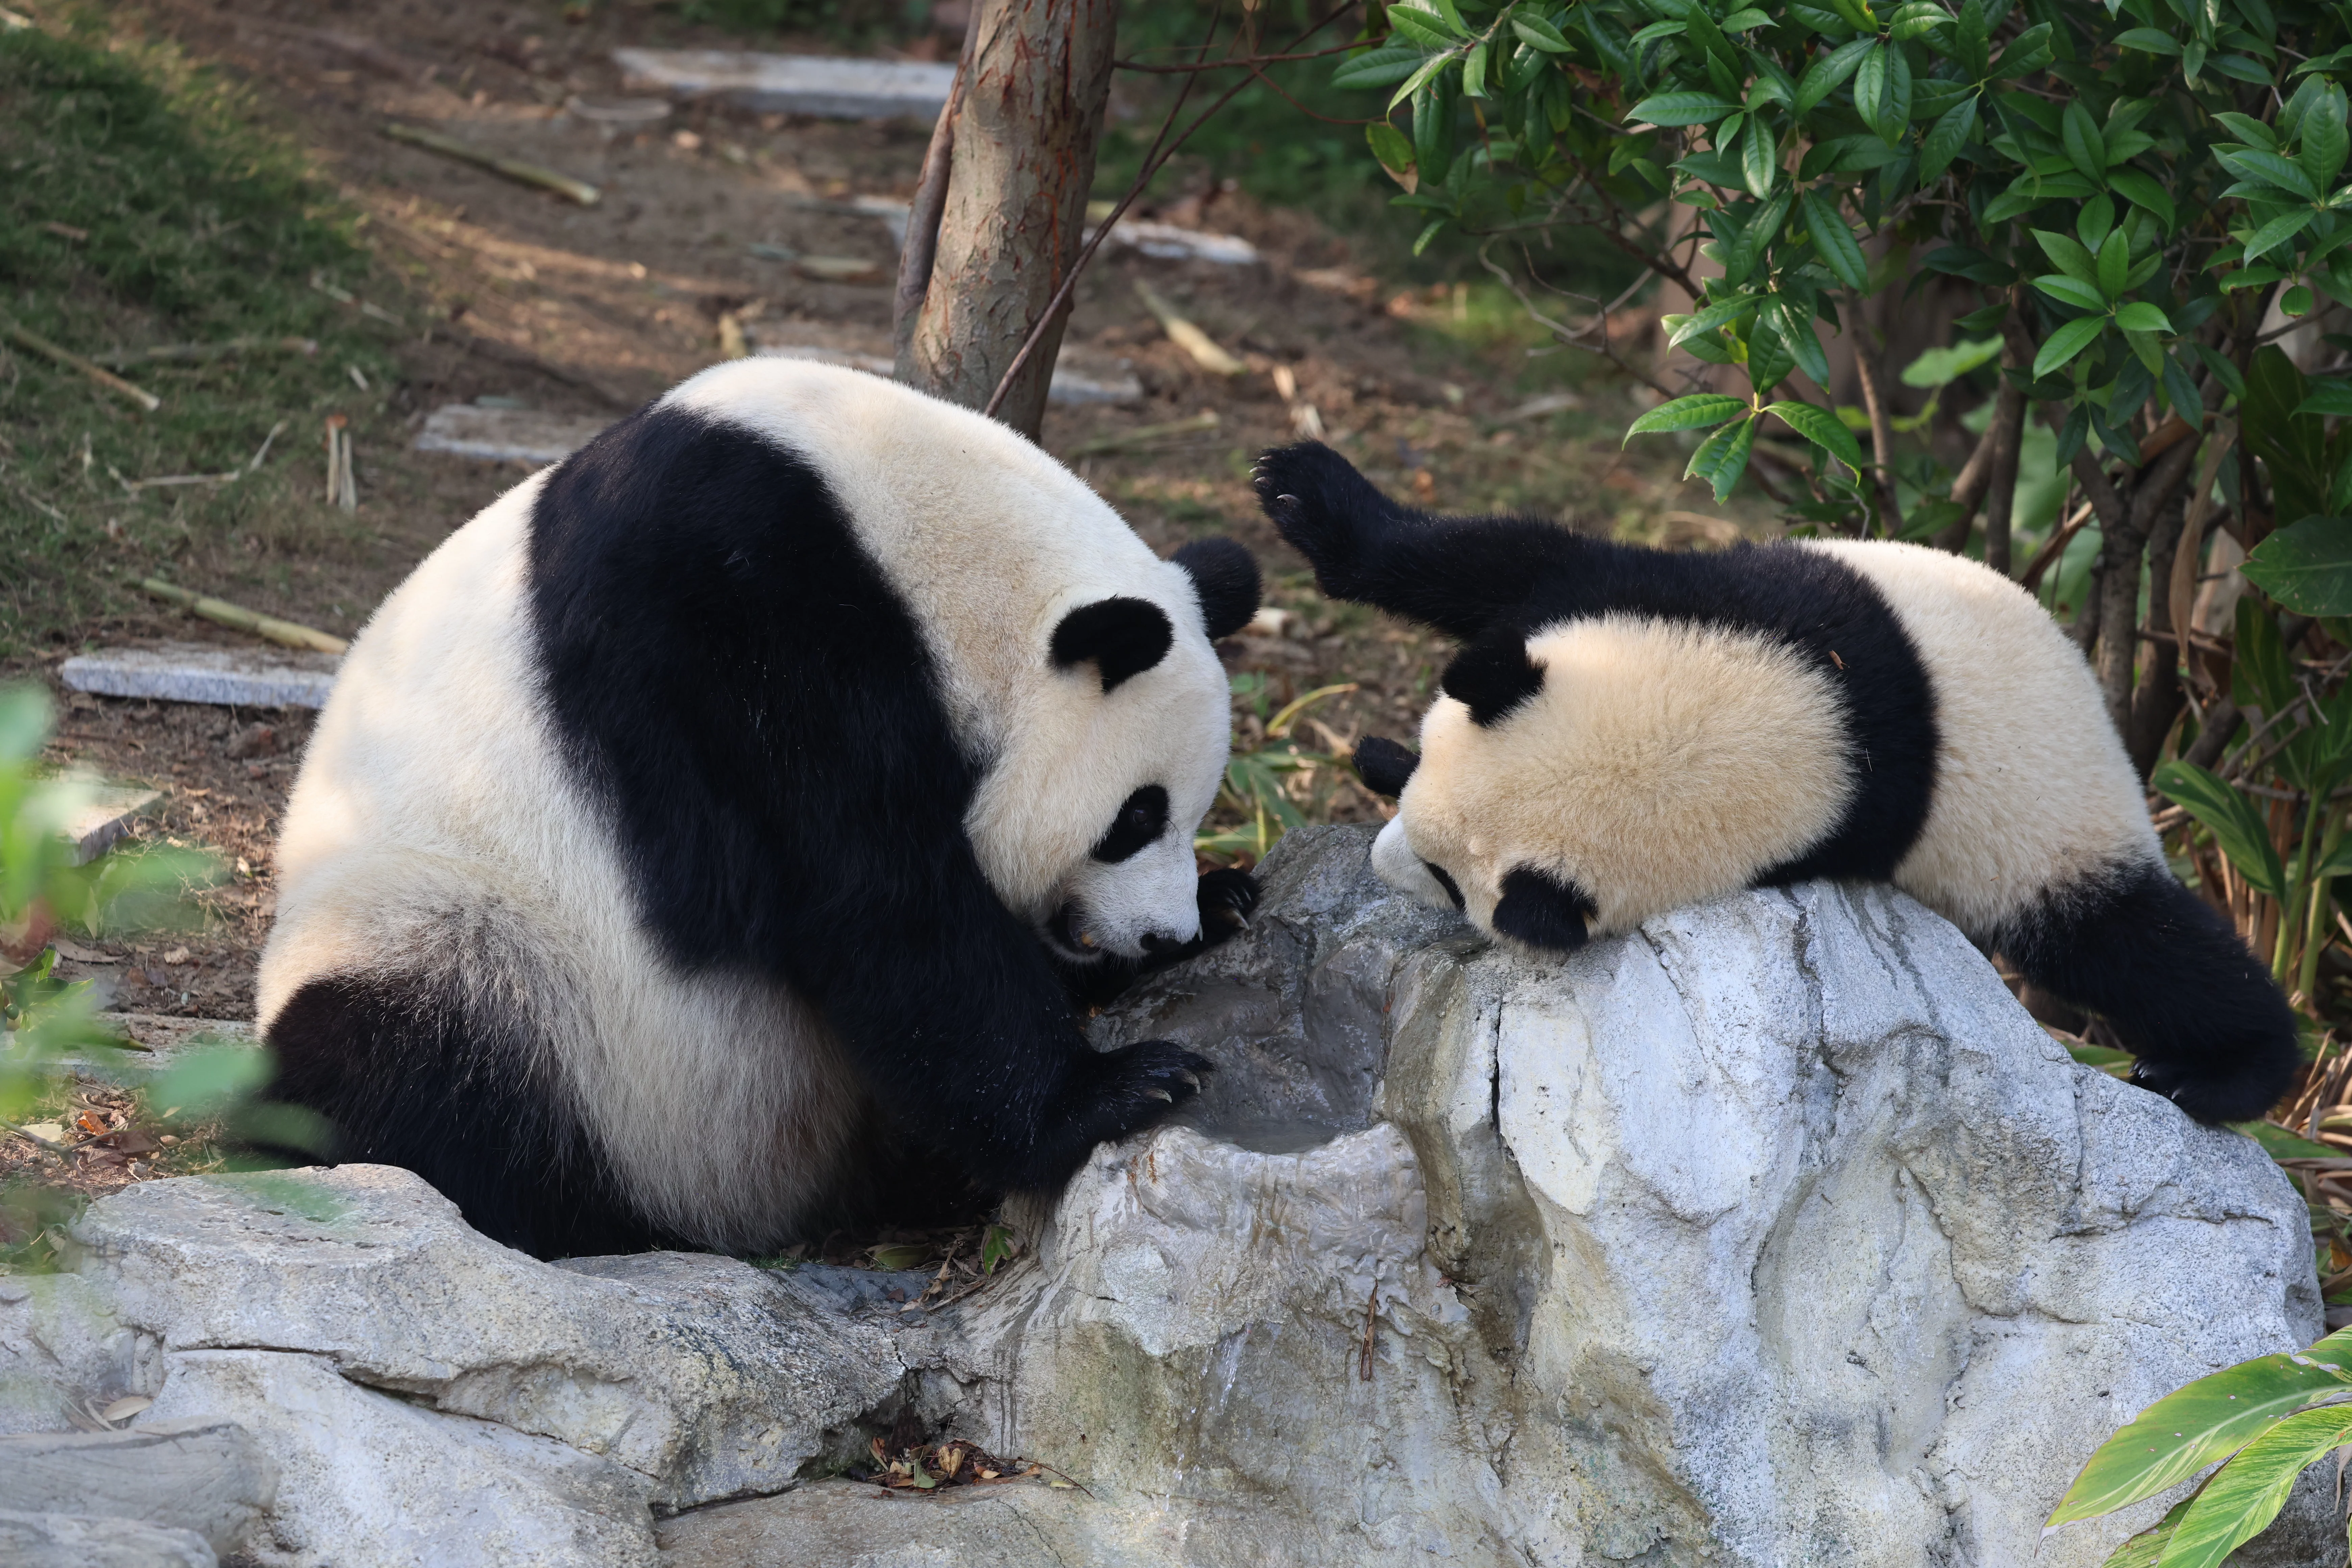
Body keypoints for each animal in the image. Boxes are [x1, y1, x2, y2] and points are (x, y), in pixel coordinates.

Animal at [255, 359, 1263, 1259]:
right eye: (1135, 816)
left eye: (1192, 812)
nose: (1165, 934)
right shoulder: (730, 625)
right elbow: (868, 896)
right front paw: (1119, 1092)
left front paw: (1225, 902)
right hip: (471, 948)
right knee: (396, 1064)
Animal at [1252, 440, 2298, 1126]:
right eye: (1432, 766)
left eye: (1445, 881)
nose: (1384, 858)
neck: (1813, 716)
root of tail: (2102, 709)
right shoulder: (1716, 597)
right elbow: (1500, 560)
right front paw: (1302, 491)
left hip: (2054, 832)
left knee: (2133, 942)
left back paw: (2218, 1073)